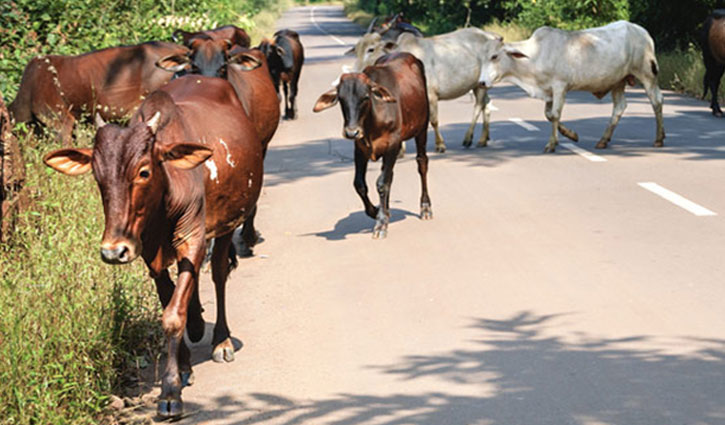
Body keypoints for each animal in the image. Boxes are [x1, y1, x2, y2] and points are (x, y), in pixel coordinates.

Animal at [43, 75, 264, 418]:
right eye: (97, 176)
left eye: (144, 171)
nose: (112, 250)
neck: (164, 198)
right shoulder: (149, 253)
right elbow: (169, 299)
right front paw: (183, 366)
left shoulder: (193, 238)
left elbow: (173, 314)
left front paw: (170, 392)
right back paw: (197, 325)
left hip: (227, 224)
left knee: (217, 273)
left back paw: (221, 340)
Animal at [313, 52, 432, 238]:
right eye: (341, 99)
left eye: (365, 97)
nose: (351, 132)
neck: (372, 121)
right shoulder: (360, 149)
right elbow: (360, 184)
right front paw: (378, 212)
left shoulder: (393, 145)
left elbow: (382, 183)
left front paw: (381, 223)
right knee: (390, 176)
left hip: (422, 129)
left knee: (422, 163)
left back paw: (425, 207)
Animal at [350, 28, 503, 153]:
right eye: (356, 50)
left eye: (371, 49)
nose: (357, 71)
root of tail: (492, 35)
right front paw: (400, 151)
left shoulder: (431, 95)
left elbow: (434, 120)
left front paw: (440, 145)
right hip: (481, 85)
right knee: (486, 104)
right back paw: (483, 139)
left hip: (479, 85)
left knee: (478, 106)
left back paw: (468, 138)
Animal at [478, 21, 665, 152]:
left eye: (494, 56)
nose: (481, 82)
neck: (535, 56)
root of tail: (641, 31)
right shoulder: (548, 91)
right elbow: (549, 115)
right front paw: (571, 135)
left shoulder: (560, 86)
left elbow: (555, 114)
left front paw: (552, 144)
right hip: (618, 81)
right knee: (619, 107)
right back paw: (603, 140)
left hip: (647, 74)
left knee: (657, 101)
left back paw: (659, 138)